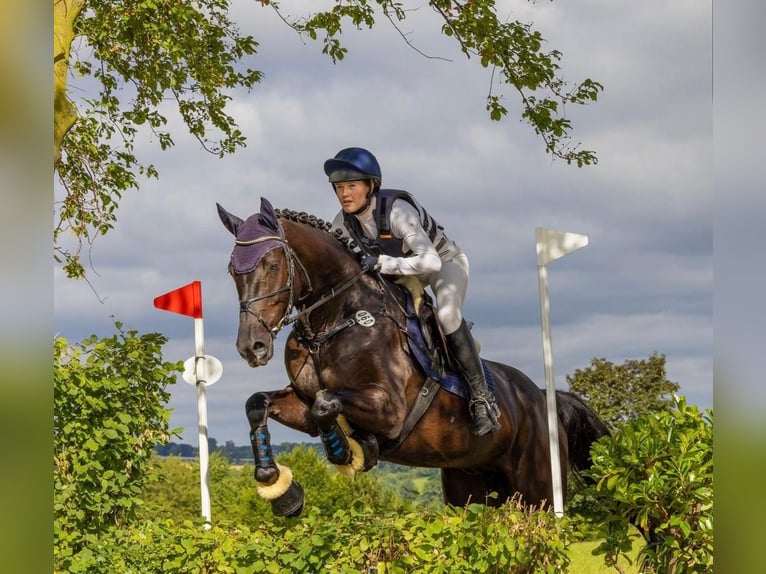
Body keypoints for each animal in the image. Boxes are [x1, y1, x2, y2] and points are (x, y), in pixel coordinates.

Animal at [218, 198, 612, 516]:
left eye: (272, 265)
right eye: (233, 271)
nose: (251, 347)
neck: (334, 319)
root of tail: (541, 397)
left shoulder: (391, 409)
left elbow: (326, 403)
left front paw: (347, 452)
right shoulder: (300, 401)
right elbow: (260, 404)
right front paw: (279, 488)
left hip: (538, 491)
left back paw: (484, 412)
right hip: (468, 488)